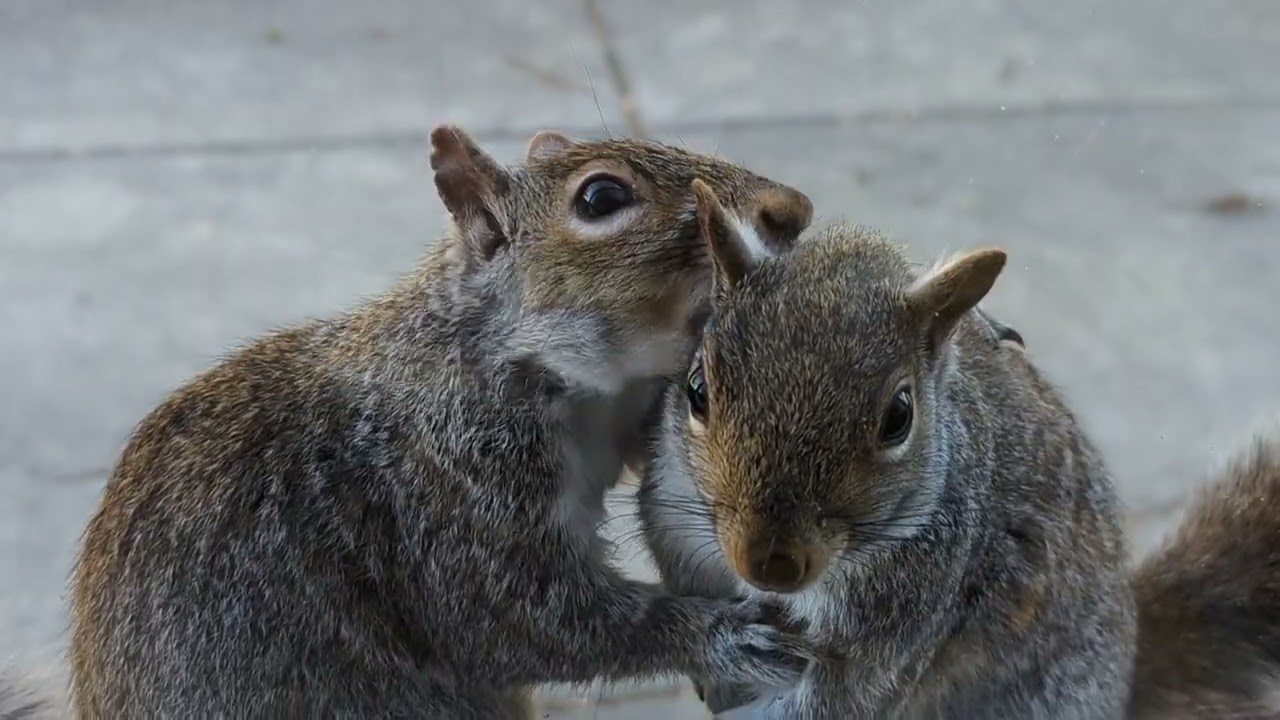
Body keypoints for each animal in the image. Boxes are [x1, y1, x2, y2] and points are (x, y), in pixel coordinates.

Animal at [638, 182, 1280, 718]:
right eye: (697, 389)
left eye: (899, 417)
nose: (769, 563)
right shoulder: (678, 525)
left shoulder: (900, 619)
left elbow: (839, 700)